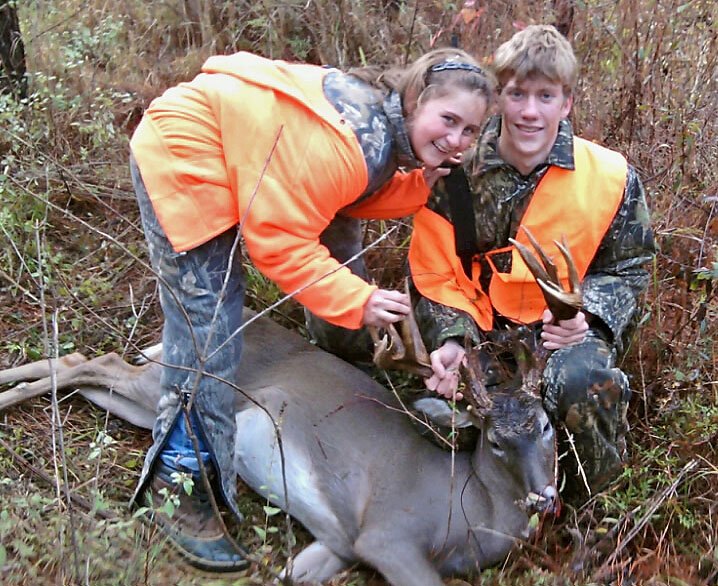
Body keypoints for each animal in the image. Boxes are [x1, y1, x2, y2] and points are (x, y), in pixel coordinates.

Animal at [0, 229, 578, 586]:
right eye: (495, 440)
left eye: (546, 425)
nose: (544, 496)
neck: (468, 514)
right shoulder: (386, 534)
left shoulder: (340, 545)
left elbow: (289, 573)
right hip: (185, 388)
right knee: (90, 363)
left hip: (153, 403)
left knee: (85, 368)